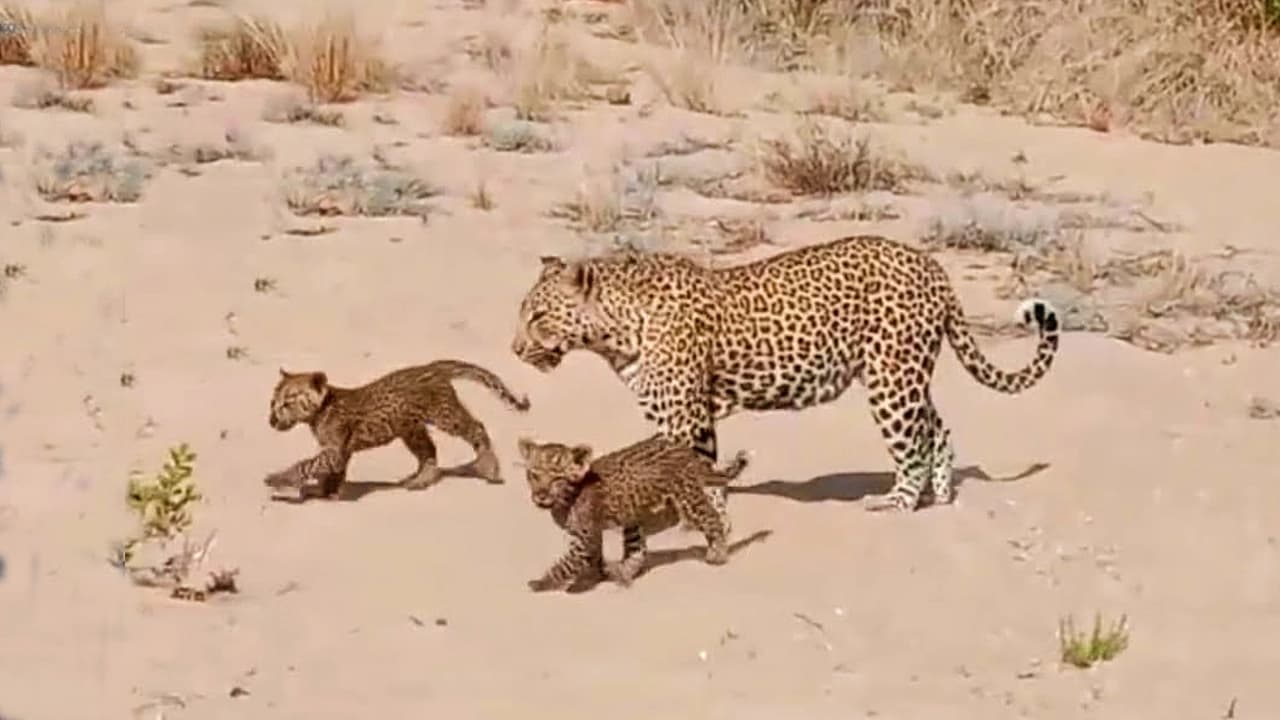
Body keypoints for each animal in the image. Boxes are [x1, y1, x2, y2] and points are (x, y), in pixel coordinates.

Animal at [509, 234, 1059, 509]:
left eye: (536, 317)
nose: (514, 349)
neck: (617, 331)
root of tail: (933, 267)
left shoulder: (685, 417)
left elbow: (691, 470)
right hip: (902, 371)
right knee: (936, 428)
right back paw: (939, 496)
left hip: (891, 379)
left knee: (912, 443)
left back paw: (897, 500)